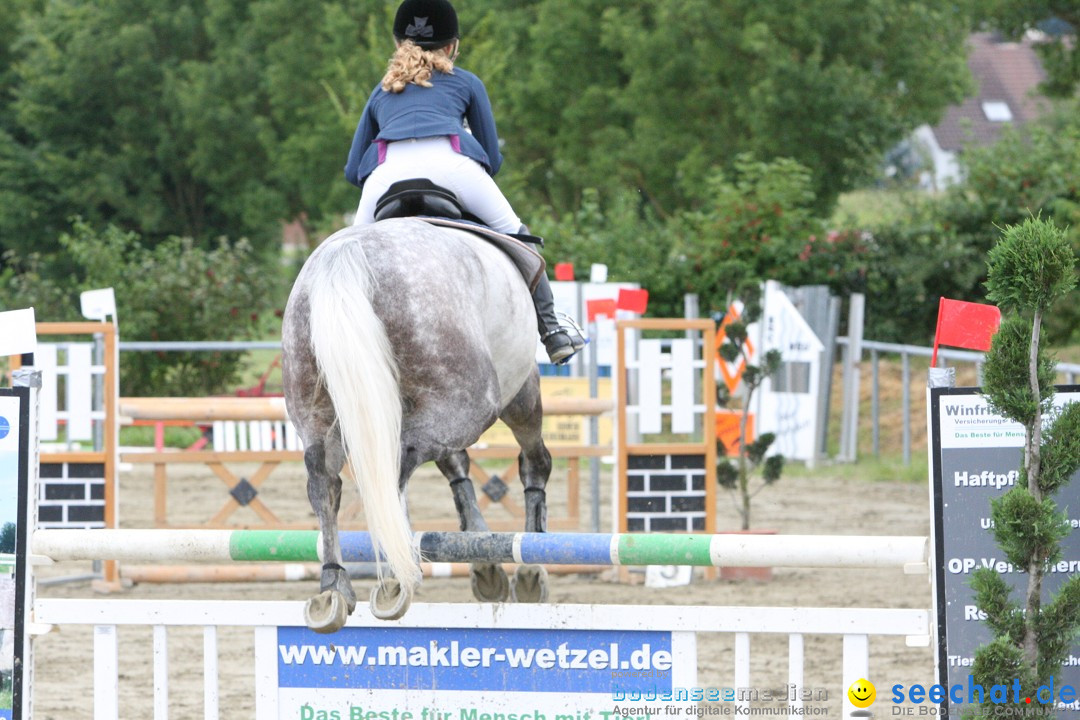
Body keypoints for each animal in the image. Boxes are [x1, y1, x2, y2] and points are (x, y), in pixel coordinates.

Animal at [280, 216, 548, 634]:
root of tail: (345, 256)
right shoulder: (518, 389)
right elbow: (526, 463)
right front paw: (529, 572)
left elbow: (456, 470)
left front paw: (486, 565)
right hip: (480, 400)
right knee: (398, 468)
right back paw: (397, 574)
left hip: (314, 406)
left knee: (325, 482)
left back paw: (334, 587)